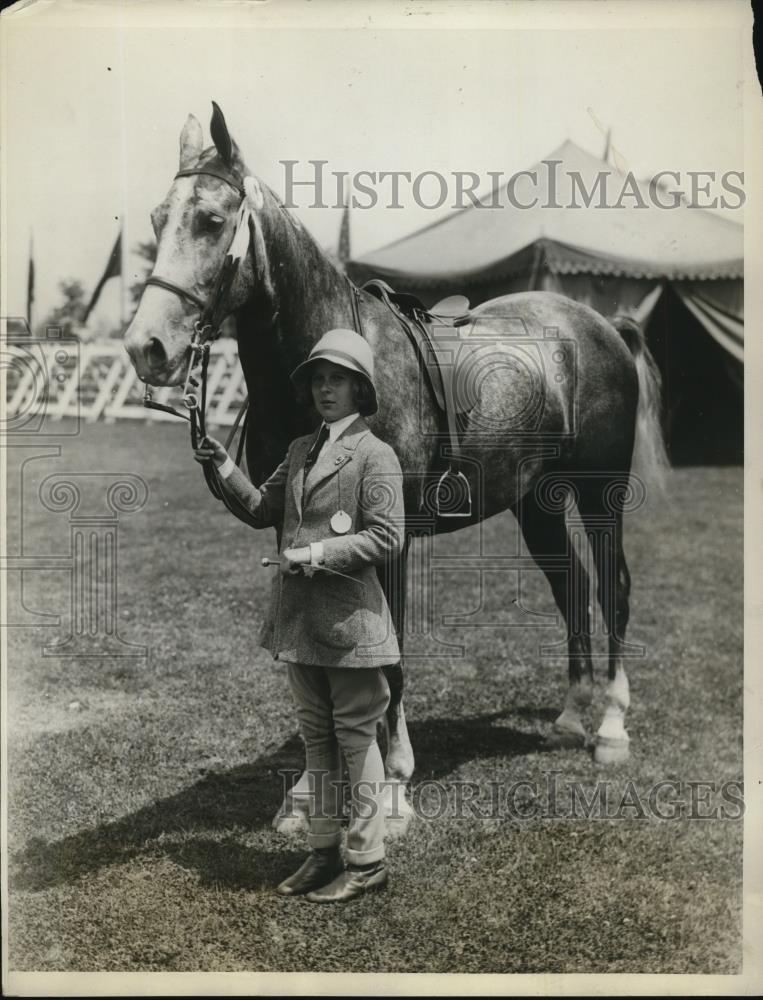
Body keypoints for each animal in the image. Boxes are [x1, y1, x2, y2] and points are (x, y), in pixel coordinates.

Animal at [124, 103, 668, 836]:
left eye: (210, 220)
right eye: (159, 219)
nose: (146, 347)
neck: (330, 368)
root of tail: (602, 324)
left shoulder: (391, 539)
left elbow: (392, 658)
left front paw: (390, 789)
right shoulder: (291, 530)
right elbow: (307, 651)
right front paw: (305, 793)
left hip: (599, 493)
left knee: (613, 586)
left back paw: (610, 727)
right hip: (538, 501)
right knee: (571, 586)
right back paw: (567, 717)